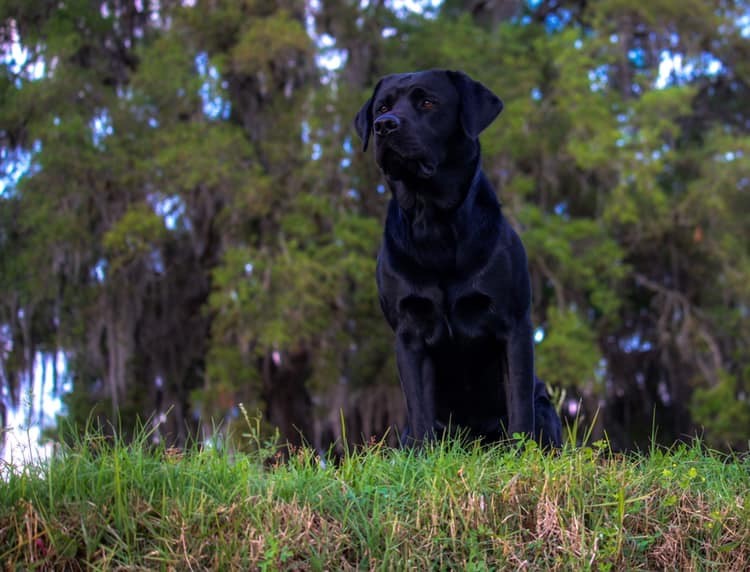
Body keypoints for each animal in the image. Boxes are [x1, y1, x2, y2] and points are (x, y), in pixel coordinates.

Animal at [356, 70, 560, 446]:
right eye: (382, 107)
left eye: (427, 102)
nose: (384, 126)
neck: (433, 223)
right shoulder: (408, 331)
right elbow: (420, 408)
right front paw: (422, 455)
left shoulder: (513, 324)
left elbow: (519, 405)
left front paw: (521, 453)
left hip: (545, 406)